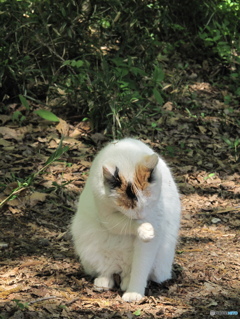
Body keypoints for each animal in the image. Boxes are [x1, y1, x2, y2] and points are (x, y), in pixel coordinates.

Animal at [70, 138, 181, 302]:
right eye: (128, 205)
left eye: (147, 202)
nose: (141, 215)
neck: (126, 156)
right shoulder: (107, 216)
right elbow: (124, 223)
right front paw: (143, 228)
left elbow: (141, 266)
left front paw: (134, 293)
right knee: (107, 270)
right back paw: (103, 281)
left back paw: (126, 282)